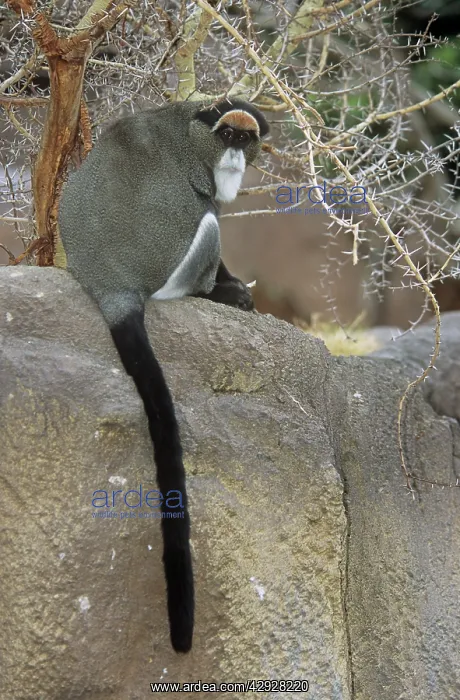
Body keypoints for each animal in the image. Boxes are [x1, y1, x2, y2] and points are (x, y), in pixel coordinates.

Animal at [58, 98, 269, 653]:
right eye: (227, 136)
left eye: (247, 139)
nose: (235, 158)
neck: (190, 127)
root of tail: (110, 287)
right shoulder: (198, 182)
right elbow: (205, 213)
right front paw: (230, 290)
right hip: (173, 273)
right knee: (208, 227)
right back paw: (212, 292)